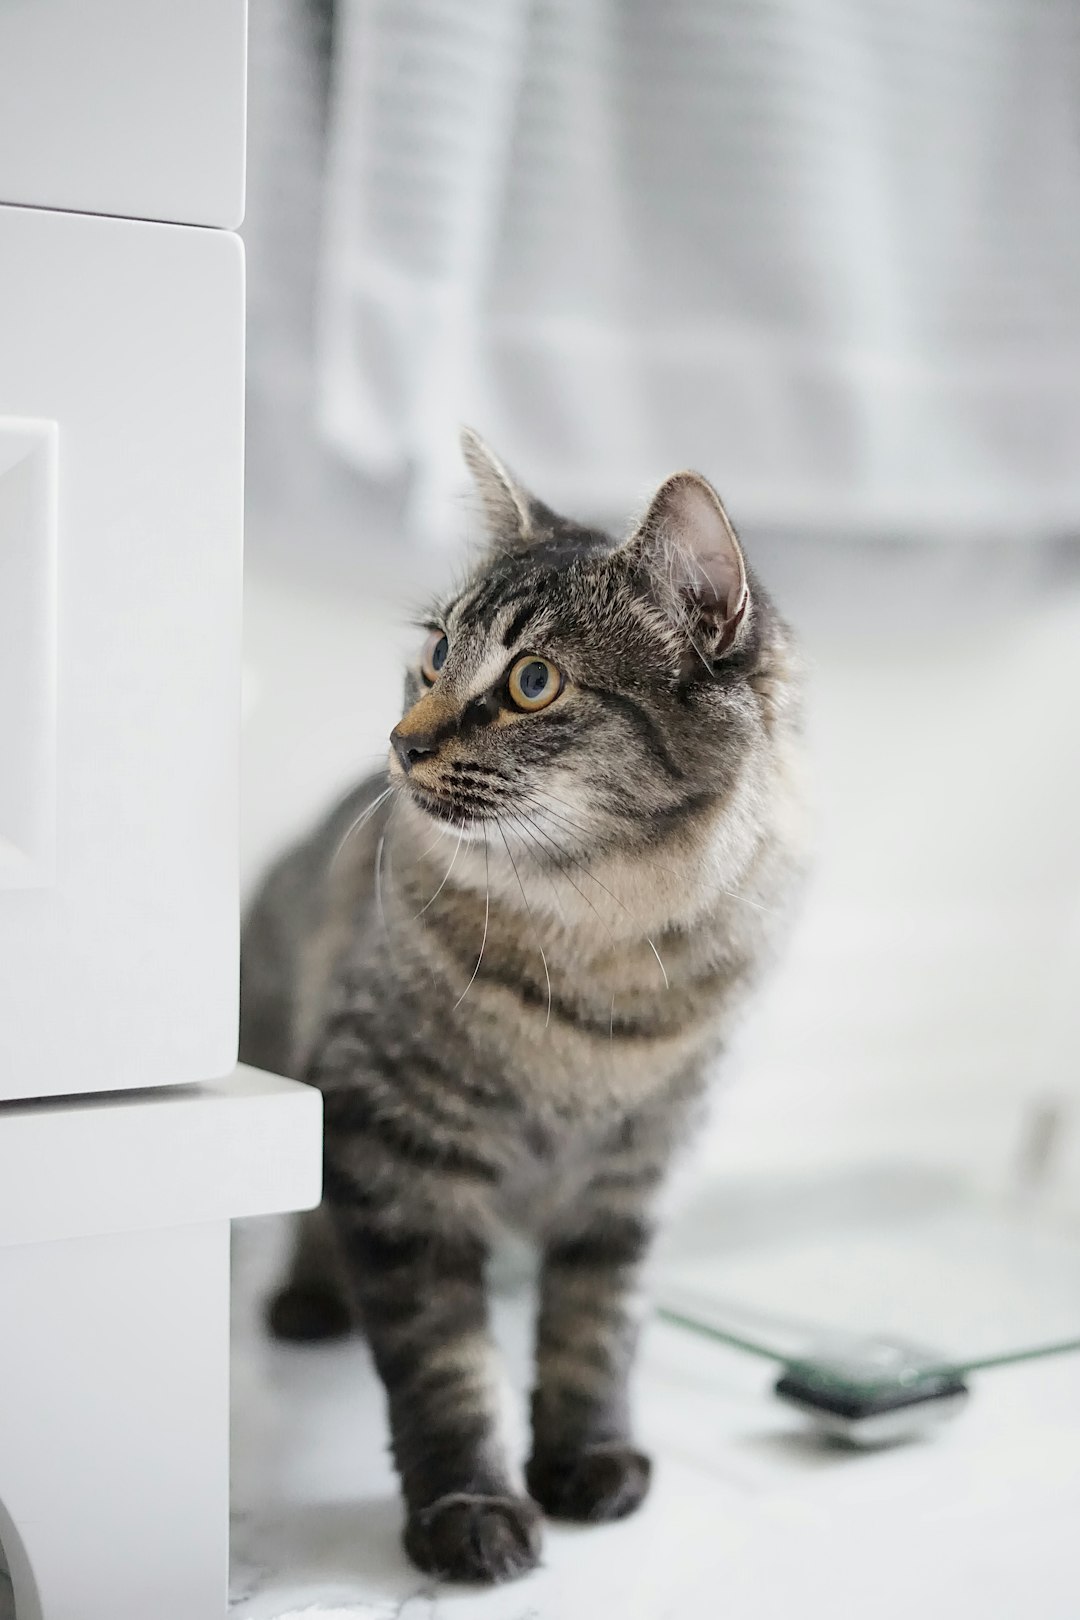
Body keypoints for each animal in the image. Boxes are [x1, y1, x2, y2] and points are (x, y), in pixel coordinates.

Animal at [242, 430, 803, 1581]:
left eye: (532, 681)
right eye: (434, 653)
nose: (404, 742)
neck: (599, 958)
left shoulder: (632, 1179)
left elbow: (594, 1334)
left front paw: (589, 1461)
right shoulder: (395, 1152)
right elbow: (447, 1368)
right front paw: (470, 1512)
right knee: (316, 1224)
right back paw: (311, 1301)